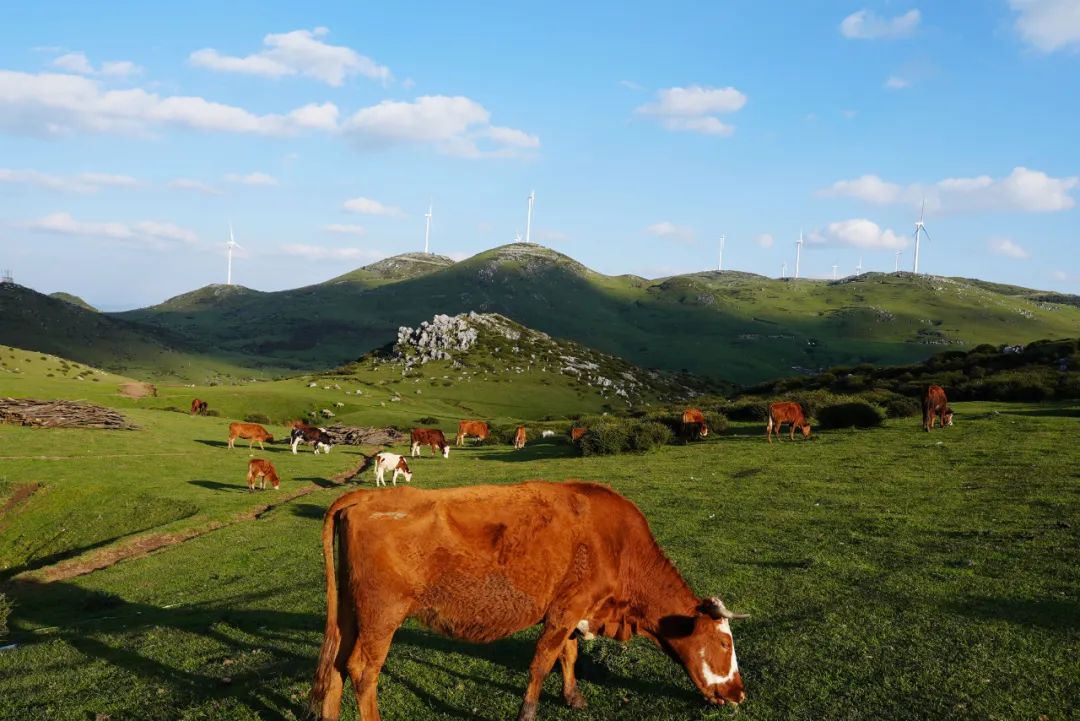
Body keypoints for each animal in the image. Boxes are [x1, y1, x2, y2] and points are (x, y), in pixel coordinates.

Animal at [308, 481, 747, 721]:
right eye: (724, 642)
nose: (739, 693)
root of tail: (364, 497)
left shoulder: (572, 609)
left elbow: (568, 655)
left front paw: (572, 697)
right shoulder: (567, 610)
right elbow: (542, 663)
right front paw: (528, 711)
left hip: (350, 610)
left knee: (336, 664)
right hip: (382, 614)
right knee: (362, 670)